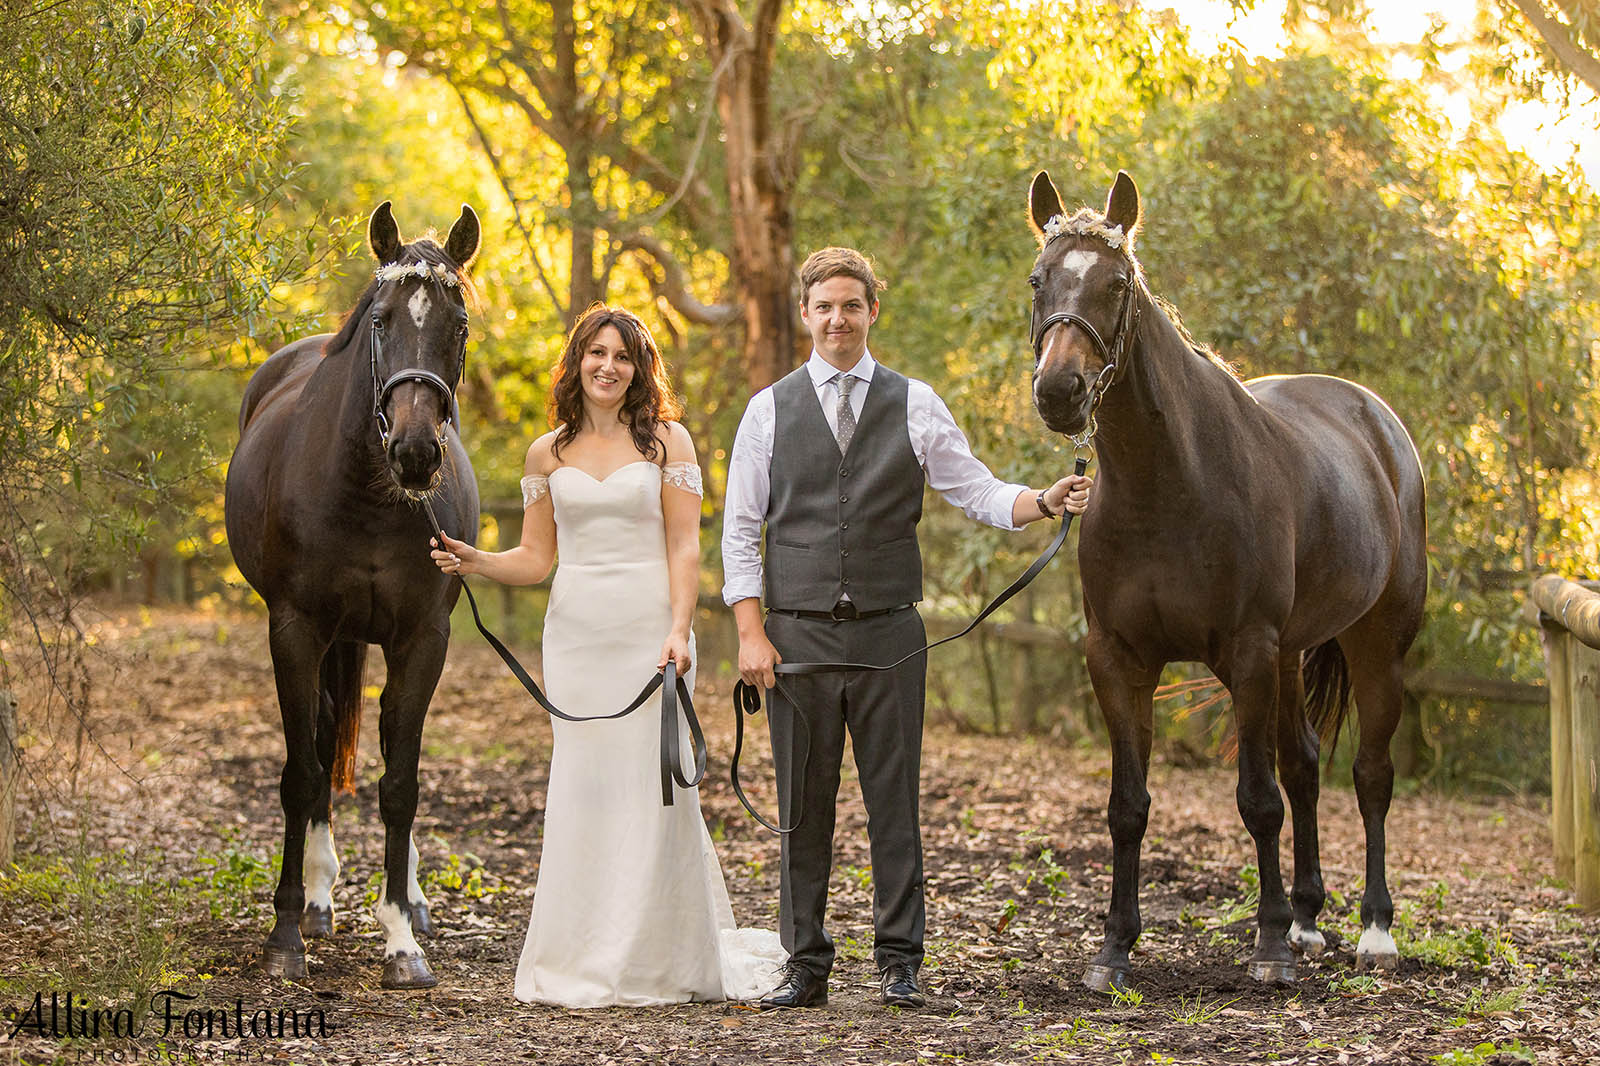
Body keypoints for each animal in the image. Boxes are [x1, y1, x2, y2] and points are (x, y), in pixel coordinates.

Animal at [225, 201, 476, 985]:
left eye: (458, 326)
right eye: (381, 320)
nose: (416, 453)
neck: (369, 492)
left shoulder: (424, 639)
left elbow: (401, 782)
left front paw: (400, 938)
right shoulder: (295, 630)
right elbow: (302, 775)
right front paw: (285, 934)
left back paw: (409, 900)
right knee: (322, 738)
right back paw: (317, 898)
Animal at [1030, 168, 1433, 985]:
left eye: (1117, 284)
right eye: (1037, 280)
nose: (1060, 391)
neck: (1167, 485)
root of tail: (1376, 420)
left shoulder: (1246, 653)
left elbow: (1257, 800)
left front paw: (1269, 947)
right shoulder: (1118, 660)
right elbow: (1128, 805)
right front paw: (1114, 949)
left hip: (1375, 647)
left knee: (1369, 774)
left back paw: (1373, 929)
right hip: (1289, 654)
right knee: (1305, 765)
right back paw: (1310, 919)